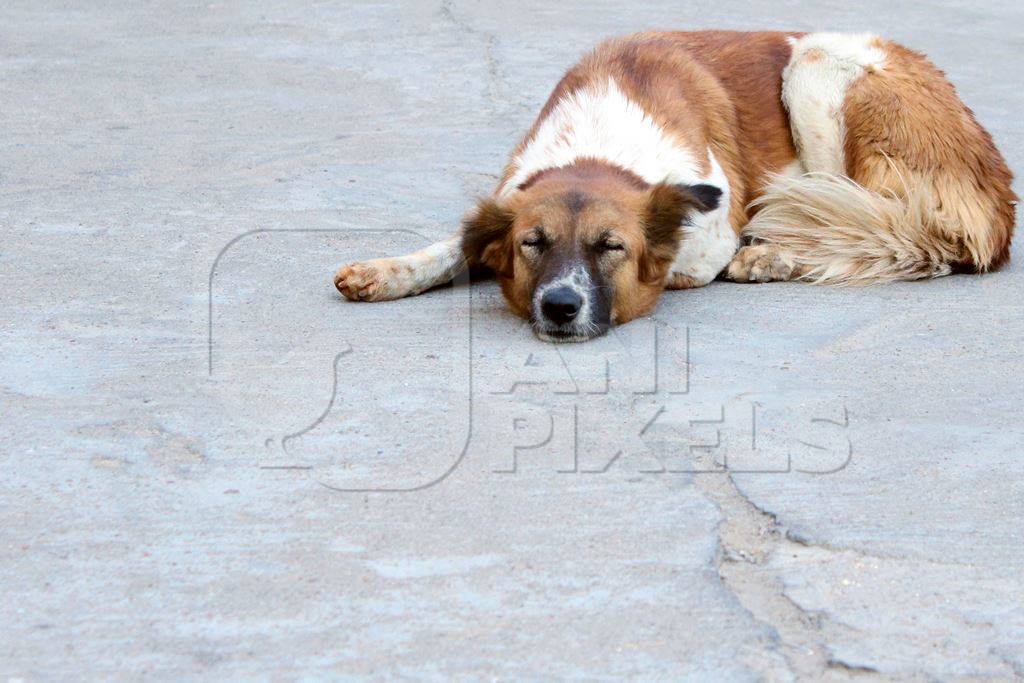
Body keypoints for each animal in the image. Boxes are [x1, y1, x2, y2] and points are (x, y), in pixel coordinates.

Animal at [331, 30, 1011, 342]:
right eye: (533, 244)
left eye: (613, 247)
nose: (560, 306)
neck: (598, 144)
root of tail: (997, 184)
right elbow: (456, 243)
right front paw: (390, 270)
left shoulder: (710, 222)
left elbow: (683, 257)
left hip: (816, 68)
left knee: (896, 233)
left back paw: (773, 255)